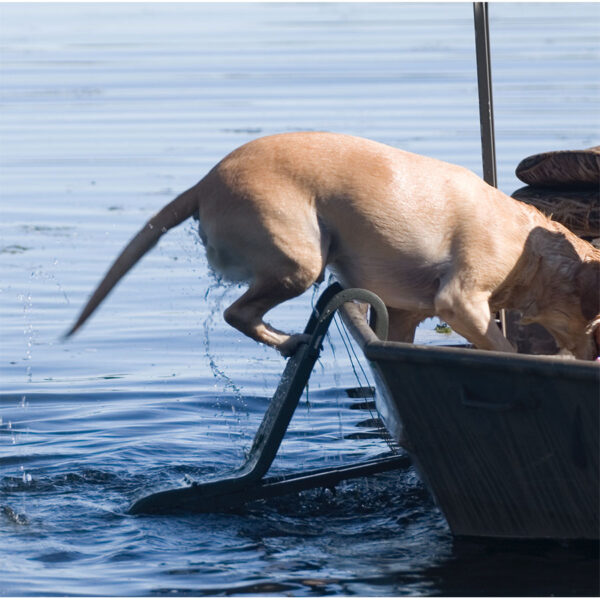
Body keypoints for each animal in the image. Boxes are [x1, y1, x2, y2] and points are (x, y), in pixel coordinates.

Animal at [65, 132, 600, 360]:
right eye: (595, 323)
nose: (592, 358)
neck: (529, 251)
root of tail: (203, 183)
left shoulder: (405, 315)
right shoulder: (461, 300)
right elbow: (503, 345)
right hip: (299, 258)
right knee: (237, 313)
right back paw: (288, 342)